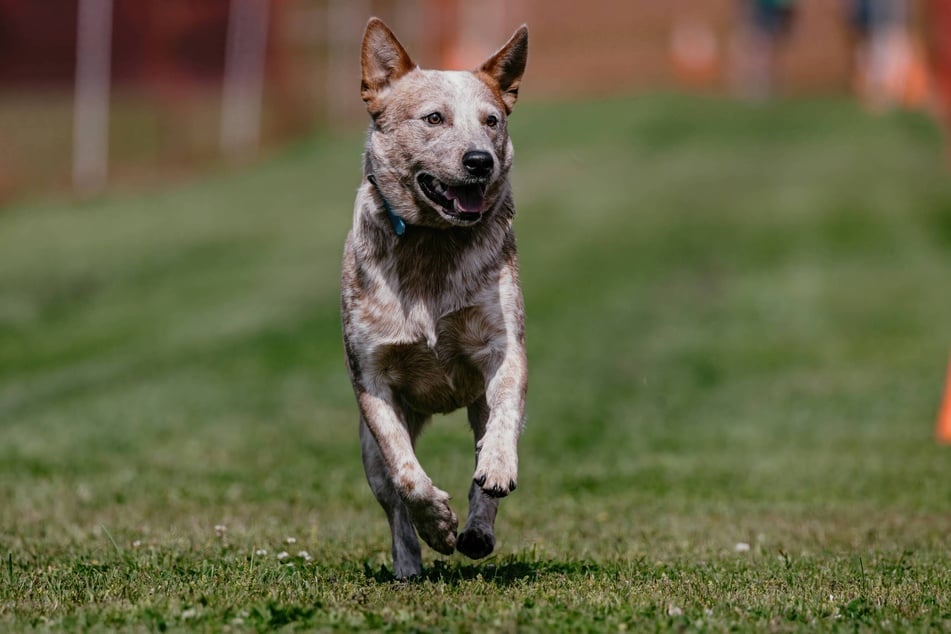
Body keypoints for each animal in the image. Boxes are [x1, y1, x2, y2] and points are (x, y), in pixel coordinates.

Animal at [342, 16, 532, 576]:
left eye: (492, 121)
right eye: (433, 118)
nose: (480, 161)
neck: (432, 246)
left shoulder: (502, 349)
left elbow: (503, 422)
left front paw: (496, 470)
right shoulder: (372, 378)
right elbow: (405, 474)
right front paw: (436, 526)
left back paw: (477, 532)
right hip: (367, 449)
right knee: (391, 501)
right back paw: (409, 566)